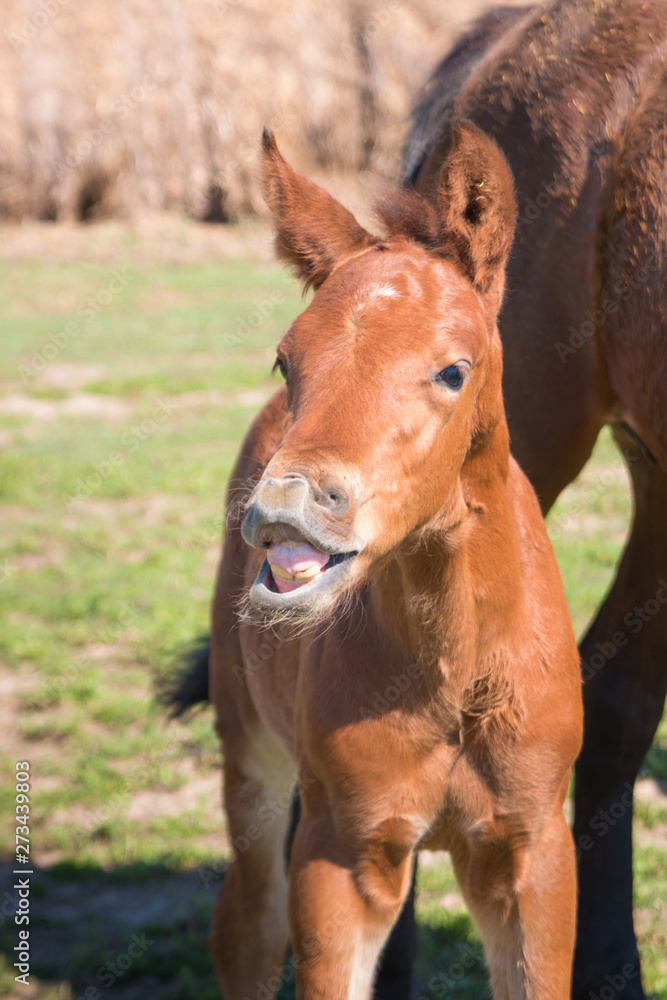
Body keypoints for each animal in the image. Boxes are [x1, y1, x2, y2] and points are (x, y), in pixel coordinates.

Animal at [201, 120, 583, 1000]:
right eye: (286, 359)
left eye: (451, 369)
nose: (287, 512)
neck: (454, 678)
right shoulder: (342, 855)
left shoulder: (532, 850)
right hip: (251, 754)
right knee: (246, 926)